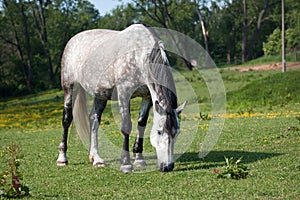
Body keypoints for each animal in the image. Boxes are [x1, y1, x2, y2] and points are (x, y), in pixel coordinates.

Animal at [56, 24, 186, 173]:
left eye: (177, 133)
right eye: (159, 132)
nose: (167, 167)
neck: (139, 56)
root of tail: (72, 41)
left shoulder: (147, 96)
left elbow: (141, 124)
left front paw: (139, 159)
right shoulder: (124, 93)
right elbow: (126, 126)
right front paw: (126, 164)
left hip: (100, 94)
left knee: (94, 119)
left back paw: (96, 159)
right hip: (69, 88)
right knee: (66, 120)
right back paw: (62, 158)